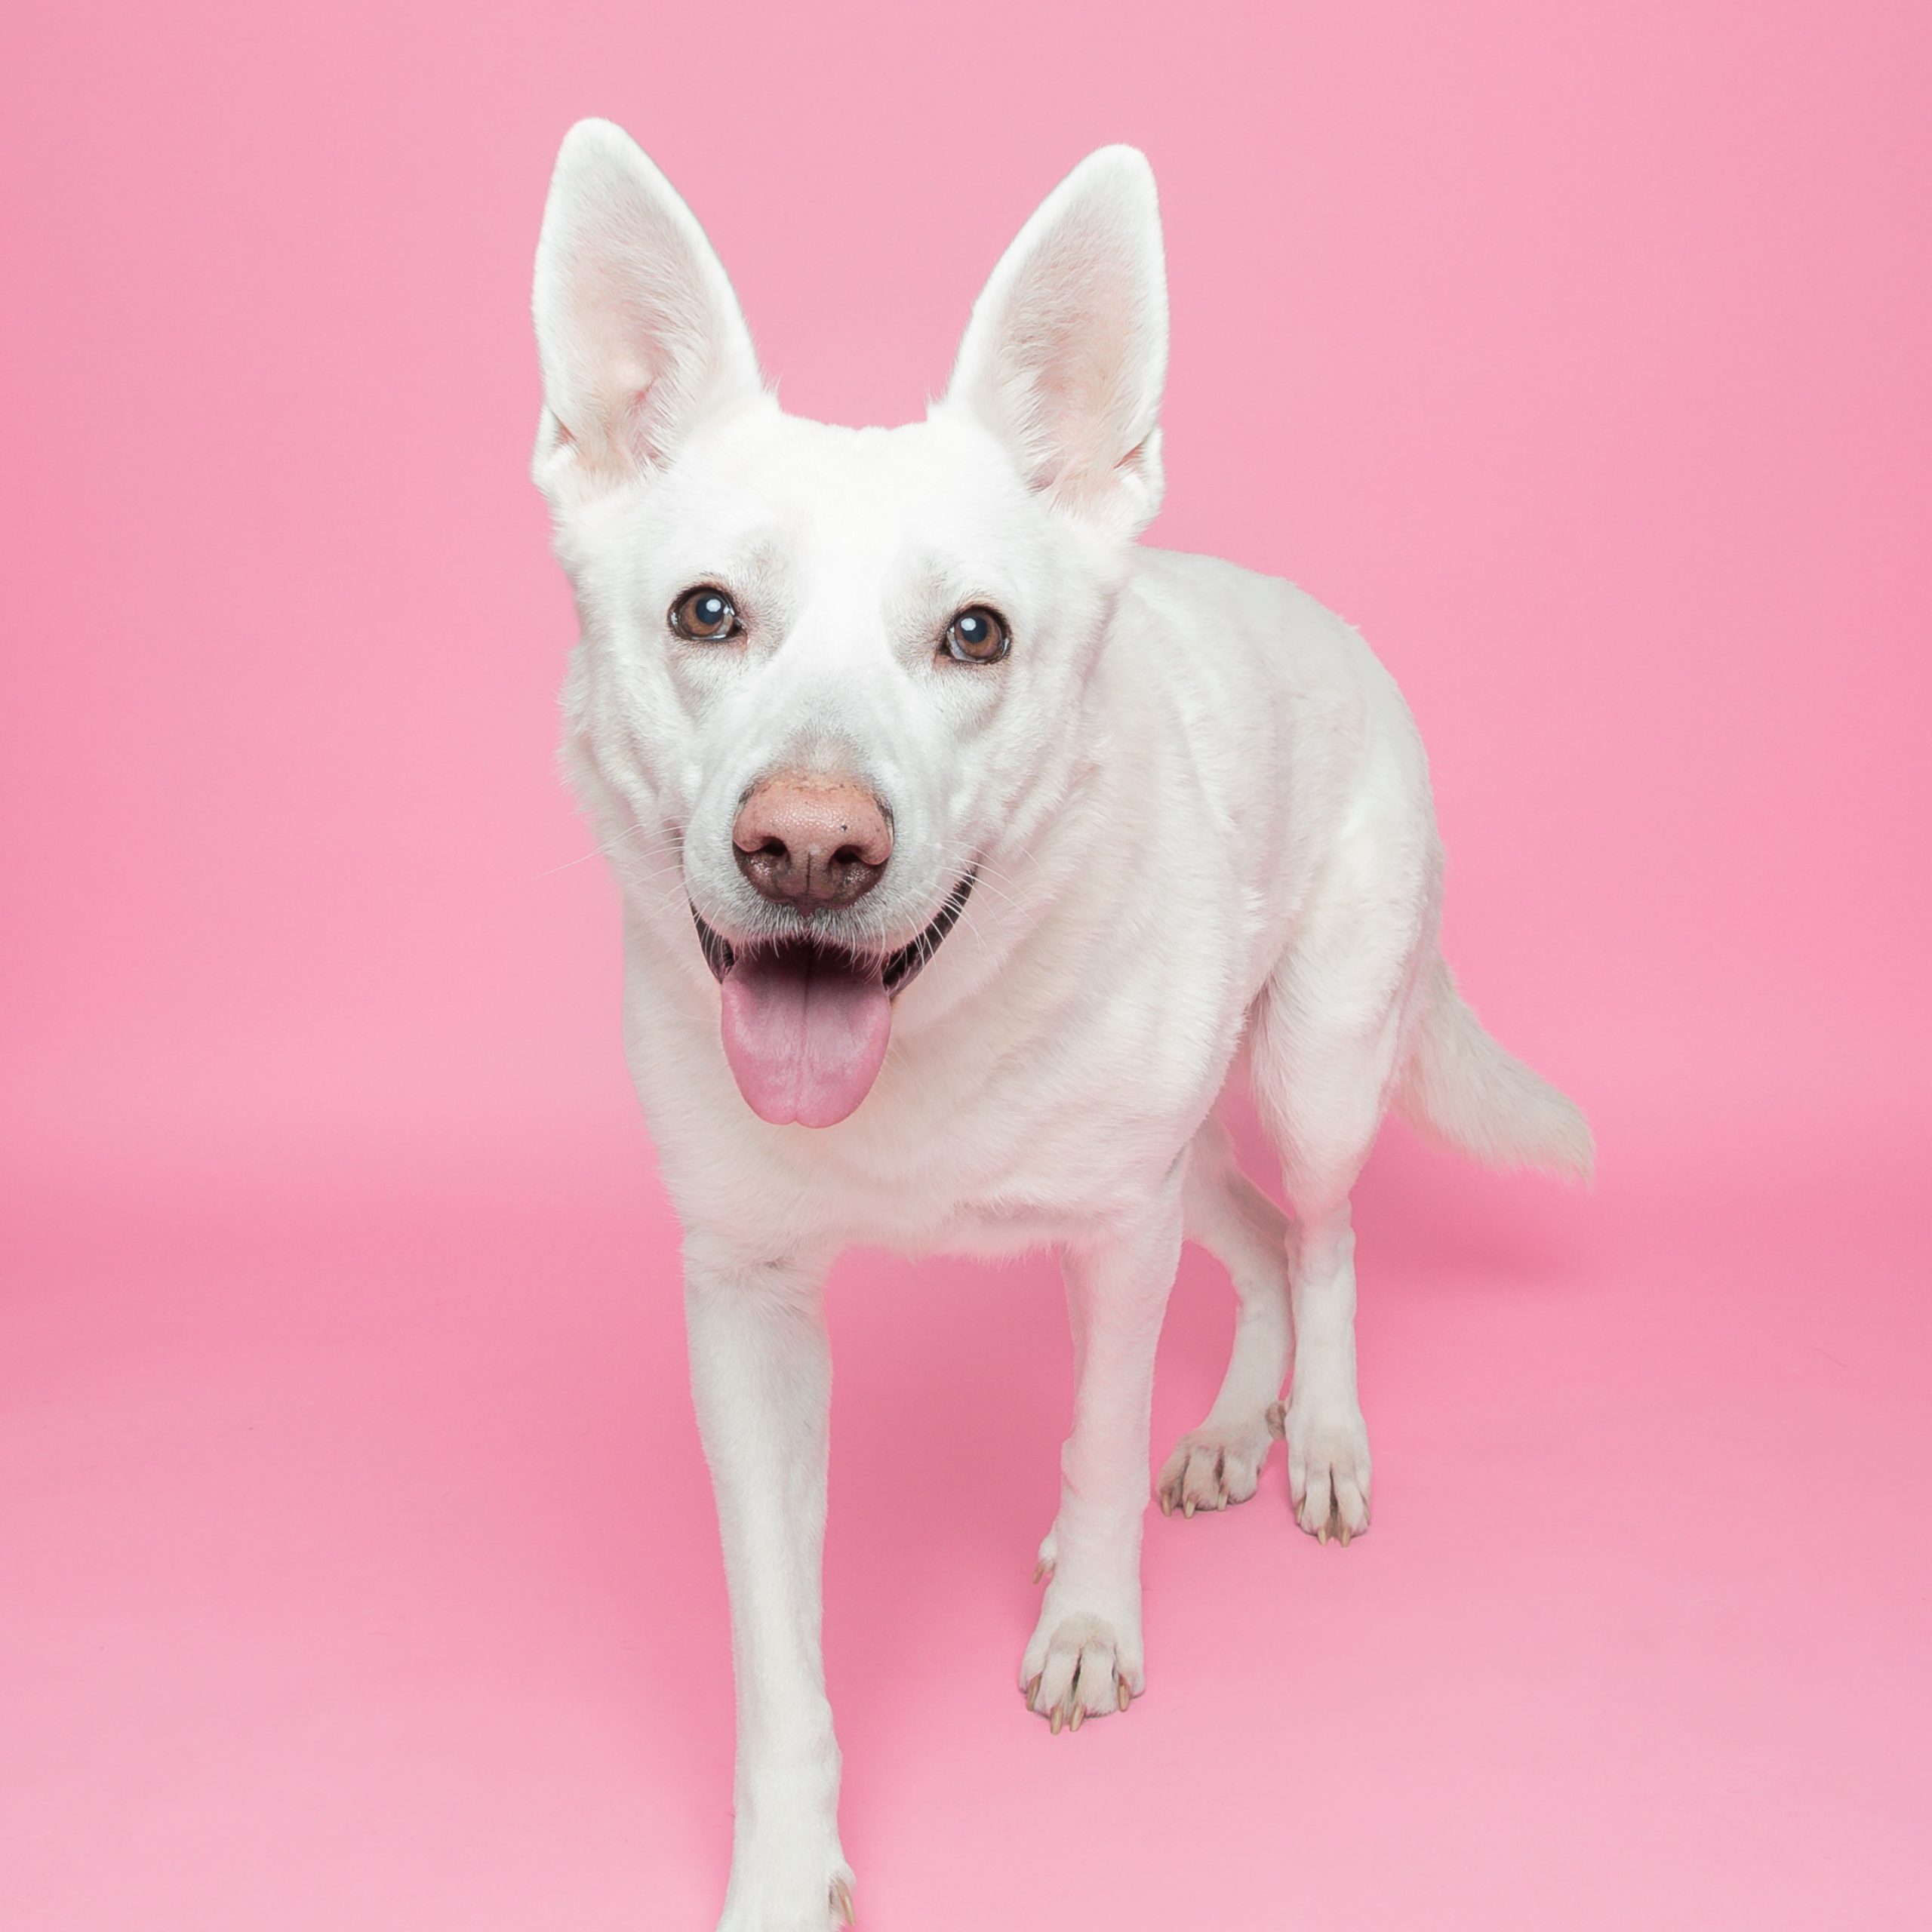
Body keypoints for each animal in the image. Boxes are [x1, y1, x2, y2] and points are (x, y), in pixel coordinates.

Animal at [529, 119, 1592, 1931]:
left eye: (976, 634)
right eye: (704, 613)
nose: (808, 848)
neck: (918, 1039)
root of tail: (1331, 624)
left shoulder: (1110, 1232)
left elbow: (1096, 1436)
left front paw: (1090, 1623)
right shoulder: (745, 1304)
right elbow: (774, 1638)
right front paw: (787, 1864)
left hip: (1312, 1070)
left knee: (1322, 1236)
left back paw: (1316, 1436)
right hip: (1193, 1150)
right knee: (1248, 1241)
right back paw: (1231, 1428)